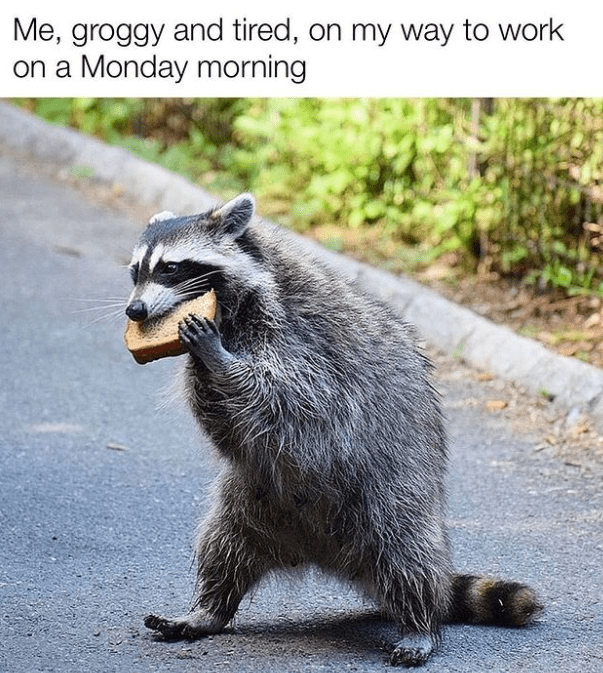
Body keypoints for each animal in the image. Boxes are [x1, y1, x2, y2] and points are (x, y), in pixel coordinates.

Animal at [126, 194, 542, 666]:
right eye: (136, 271)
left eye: (170, 267)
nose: (134, 310)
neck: (236, 305)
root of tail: (324, 553)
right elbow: (230, 428)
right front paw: (198, 364)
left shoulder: (301, 336)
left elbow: (295, 401)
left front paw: (217, 360)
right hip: (253, 498)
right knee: (224, 544)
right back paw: (209, 609)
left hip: (391, 489)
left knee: (406, 549)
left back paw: (419, 623)